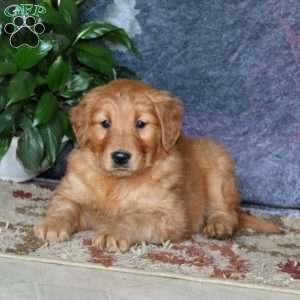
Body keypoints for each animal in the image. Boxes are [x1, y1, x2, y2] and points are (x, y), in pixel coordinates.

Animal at [35, 79, 282, 251]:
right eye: (105, 123)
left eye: (141, 123)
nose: (120, 157)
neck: (117, 184)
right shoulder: (69, 192)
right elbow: (65, 208)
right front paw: (52, 225)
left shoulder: (168, 215)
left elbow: (133, 218)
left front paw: (112, 233)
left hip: (219, 163)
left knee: (227, 210)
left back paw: (220, 226)